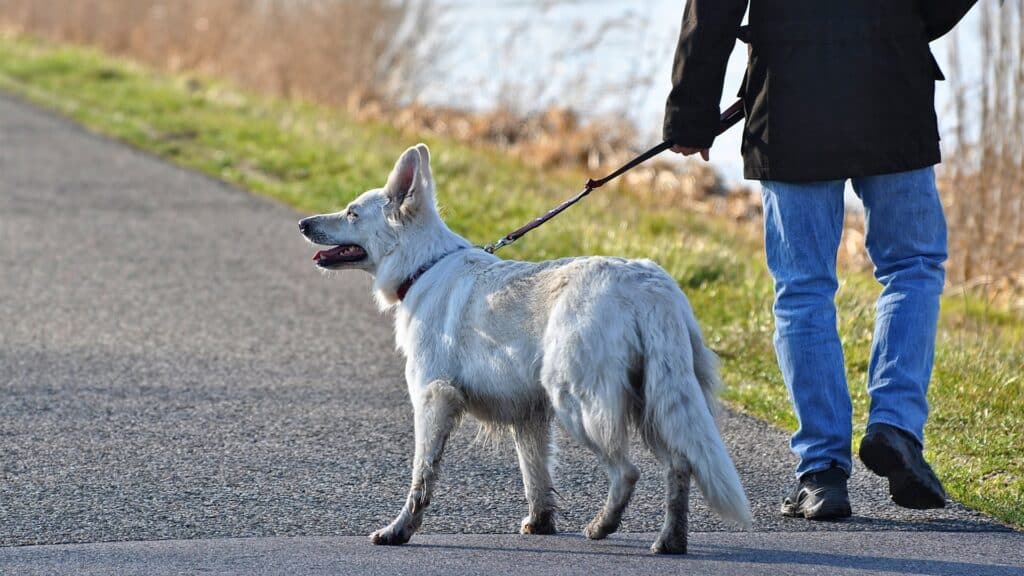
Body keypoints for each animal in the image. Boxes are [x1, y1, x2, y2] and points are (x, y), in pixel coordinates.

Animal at [296, 142, 753, 553]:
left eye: (352, 213)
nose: (302, 223)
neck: (423, 266)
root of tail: (648, 285)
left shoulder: (433, 399)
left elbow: (421, 477)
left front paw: (399, 531)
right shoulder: (528, 416)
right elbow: (536, 476)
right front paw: (541, 523)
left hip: (579, 403)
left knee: (627, 472)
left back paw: (602, 526)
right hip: (654, 404)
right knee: (680, 465)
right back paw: (670, 541)